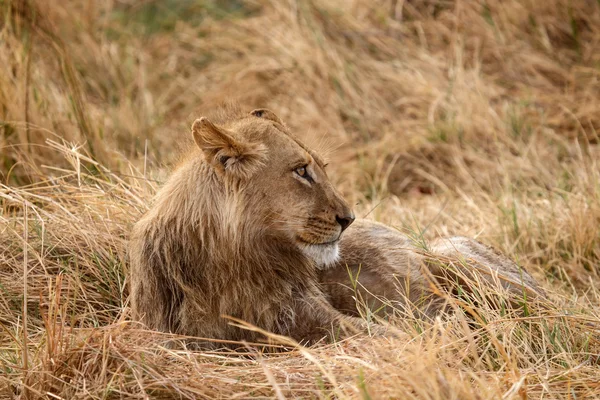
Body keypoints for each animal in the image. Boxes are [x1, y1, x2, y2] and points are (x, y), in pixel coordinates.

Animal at [130, 107, 544, 346]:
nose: (349, 219)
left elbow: (387, 337)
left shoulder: (317, 315)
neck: (235, 262)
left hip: (453, 254)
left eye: (322, 168)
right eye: (301, 171)